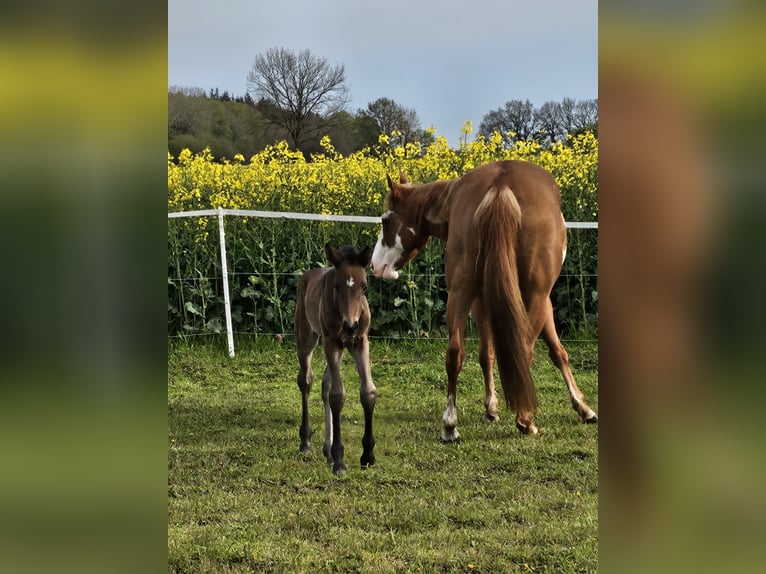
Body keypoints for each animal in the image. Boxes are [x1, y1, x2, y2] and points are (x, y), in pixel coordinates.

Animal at [296, 245, 376, 474]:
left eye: (364, 286)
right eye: (337, 286)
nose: (350, 326)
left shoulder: (360, 341)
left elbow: (368, 393)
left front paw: (367, 455)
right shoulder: (331, 342)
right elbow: (337, 396)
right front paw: (340, 460)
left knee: (325, 384)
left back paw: (327, 451)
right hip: (308, 339)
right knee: (306, 380)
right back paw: (306, 441)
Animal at [372, 162, 600, 440]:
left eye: (386, 220)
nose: (375, 265)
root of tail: (500, 187)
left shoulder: (480, 300)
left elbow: (486, 354)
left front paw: (491, 408)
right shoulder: (543, 298)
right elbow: (557, 351)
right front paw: (584, 408)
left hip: (460, 291)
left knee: (454, 352)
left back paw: (450, 425)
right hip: (533, 294)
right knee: (524, 350)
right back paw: (525, 419)